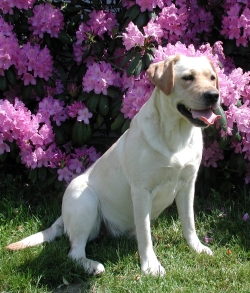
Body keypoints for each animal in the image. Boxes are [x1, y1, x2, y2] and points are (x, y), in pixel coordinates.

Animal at [6, 55, 221, 276]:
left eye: (212, 78)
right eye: (188, 78)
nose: (214, 95)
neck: (177, 136)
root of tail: (62, 218)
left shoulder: (188, 185)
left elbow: (189, 222)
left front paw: (196, 247)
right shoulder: (141, 191)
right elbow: (145, 235)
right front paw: (151, 265)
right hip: (85, 199)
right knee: (74, 252)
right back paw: (92, 266)